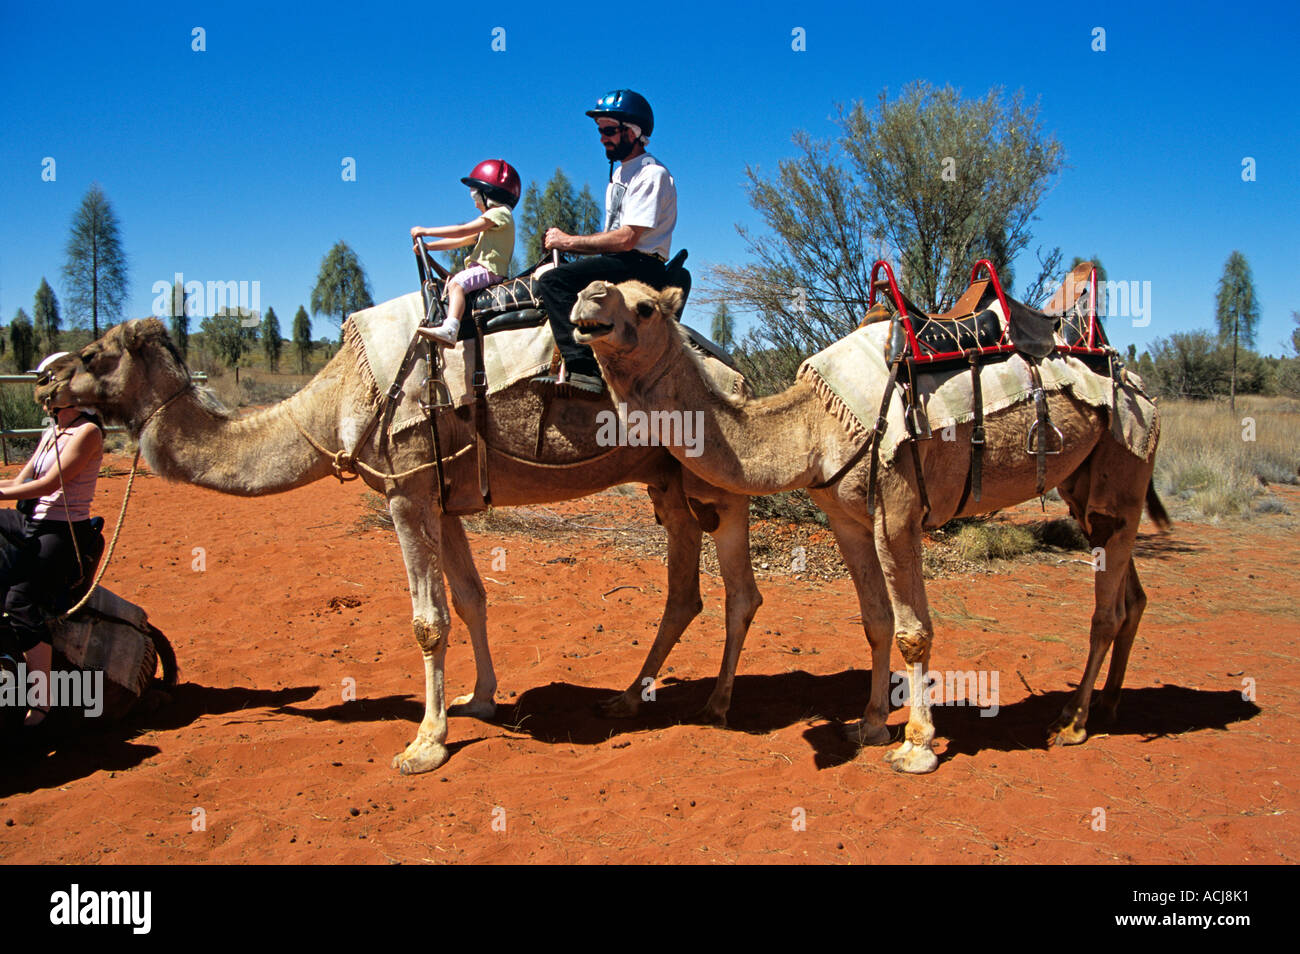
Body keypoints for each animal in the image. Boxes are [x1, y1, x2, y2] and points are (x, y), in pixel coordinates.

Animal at [38, 314, 759, 779]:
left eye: (97, 355)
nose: (45, 382)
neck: (335, 403)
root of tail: (737, 371)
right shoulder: (441, 497)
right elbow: (470, 599)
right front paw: (479, 701)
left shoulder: (405, 487)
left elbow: (428, 620)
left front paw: (424, 745)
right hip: (664, 476)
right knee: (684, 592)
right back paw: (628, 697)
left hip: (713, 466)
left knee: (740, 592)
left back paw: (720, 706)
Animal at [569, 280, 1170, 774]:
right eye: (605, 288)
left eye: (644, 307)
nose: (587, 299)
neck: (812, 425)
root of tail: (1138, 380)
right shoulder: (847, 520)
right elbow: (877, 622)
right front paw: (873, 724)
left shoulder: (898, 512)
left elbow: (912, 630)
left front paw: (917, 746)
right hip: (1088, 488)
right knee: (1131, 594)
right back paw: (1109, 704)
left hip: (1126, 460)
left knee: (1107, 611)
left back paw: (1072, 721)